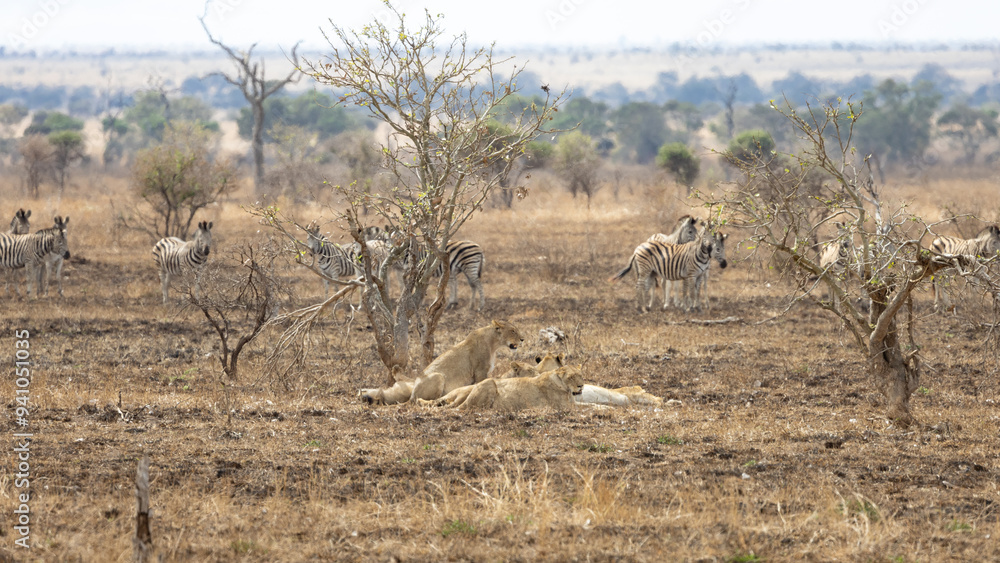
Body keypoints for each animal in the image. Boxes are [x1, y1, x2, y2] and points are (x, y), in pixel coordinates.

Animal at [359, 320, 523, 405]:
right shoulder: (480, 372)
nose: (522, 339)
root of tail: (412, 393)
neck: (493, 344)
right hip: (438, 376)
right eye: (513, 331)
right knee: (424, 399)